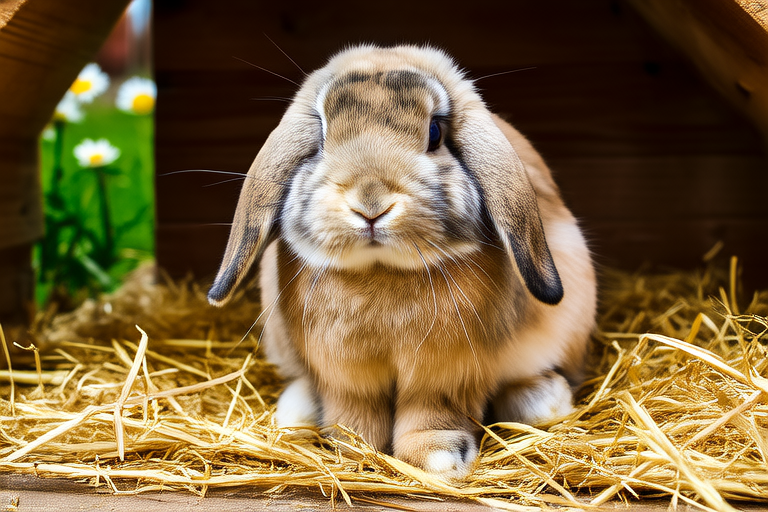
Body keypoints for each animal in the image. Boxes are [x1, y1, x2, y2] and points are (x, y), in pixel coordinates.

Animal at [208, 44, 597, 480]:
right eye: (321, 134)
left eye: (435, 133)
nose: (370, 203)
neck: (381, 271)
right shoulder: (344, 374)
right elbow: (352, 410)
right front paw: (354, 449)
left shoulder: (447, 374)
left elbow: (434, 411)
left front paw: (439, 459)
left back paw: (544, 401)